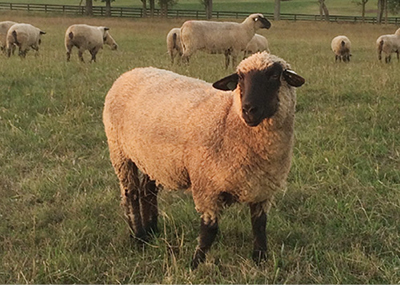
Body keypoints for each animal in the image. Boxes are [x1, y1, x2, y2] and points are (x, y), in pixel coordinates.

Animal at [101, 51, 304, 268]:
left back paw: (151, 230)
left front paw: (260, 259)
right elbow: (209, 231)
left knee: (148, 191)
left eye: (274, 76)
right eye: (240, 78)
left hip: (153, 160)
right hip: (120, 153)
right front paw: (195, 263)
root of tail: (131, 72)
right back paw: (138, 236)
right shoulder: (207, 187)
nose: (249, 109)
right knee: (130, 193)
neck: (228, 118)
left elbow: (259, 226)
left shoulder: (262, 190)